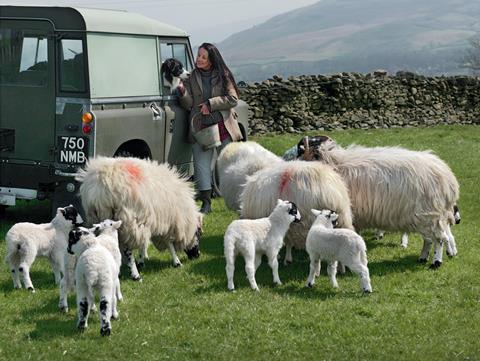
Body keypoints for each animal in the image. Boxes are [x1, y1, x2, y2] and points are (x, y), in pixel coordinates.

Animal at [300, 135, 462, 268]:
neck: (335, 164)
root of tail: (449, 179)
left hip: (430, 215)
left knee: (439, 239)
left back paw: (436, 261)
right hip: (424, 217)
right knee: (429, 239)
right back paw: (423, 257)